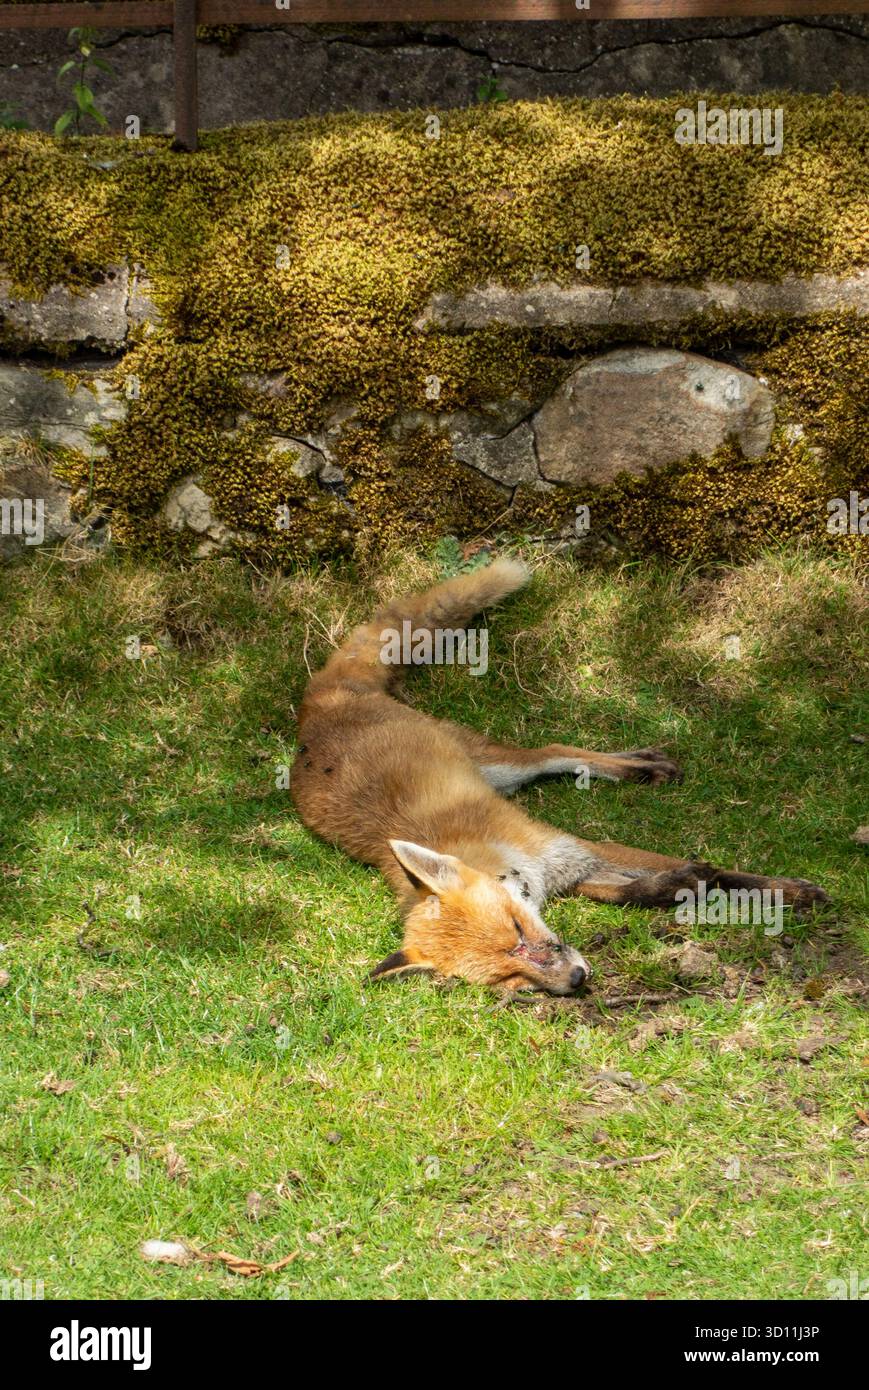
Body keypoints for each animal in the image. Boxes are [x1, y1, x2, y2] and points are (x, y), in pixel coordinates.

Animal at [291, 558, 828, 995]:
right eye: (510, 978)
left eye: (517, 929)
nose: (575, 980)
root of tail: (316, 704)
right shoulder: (572, 872)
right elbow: (636, 891)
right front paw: (676, 886)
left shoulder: (571, 847)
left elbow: (729, 874)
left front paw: (790, 890)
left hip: (496, 764)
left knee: (555, 751)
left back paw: (641, 766)